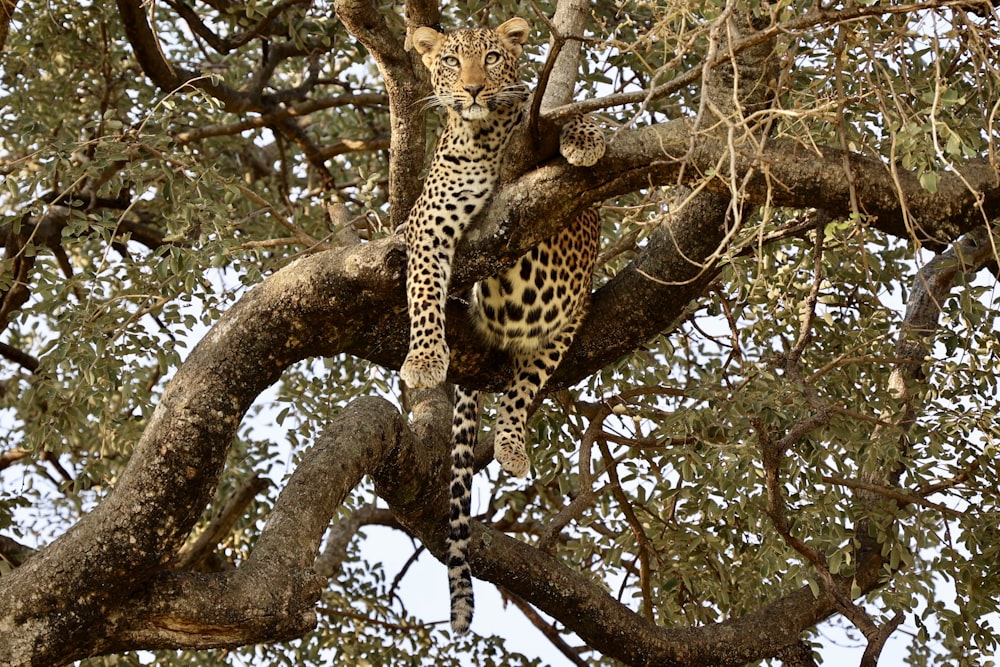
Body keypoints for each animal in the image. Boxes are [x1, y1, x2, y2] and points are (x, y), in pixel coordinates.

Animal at [400, 14, 604, 632]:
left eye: (492, 57)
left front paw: (586, 137)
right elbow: (422, 293)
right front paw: (424, 359)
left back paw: (512, 444)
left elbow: (561, 115)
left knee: (524, 386)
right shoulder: (427, 225)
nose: (471, 90)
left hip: (569, 318)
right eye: (449, 61)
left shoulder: (533, 123)